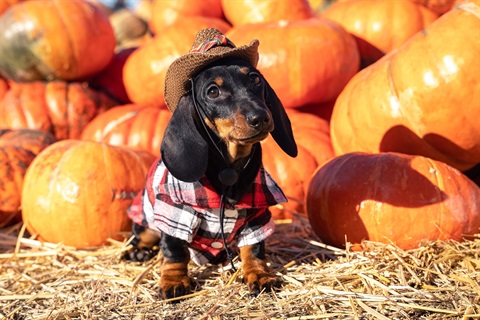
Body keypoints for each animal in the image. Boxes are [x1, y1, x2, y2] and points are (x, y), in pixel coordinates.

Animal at [124, 28, 296, 300]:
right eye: (213, 91)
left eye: (255, 79)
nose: (260, 117)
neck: (229, 167)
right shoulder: (174, 212)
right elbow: (174, 251)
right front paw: (174, 281)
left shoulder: (257, 214)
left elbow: (254, 249)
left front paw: (259, 274)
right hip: (146, 216)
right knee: (142, 234)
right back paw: (136, 250)